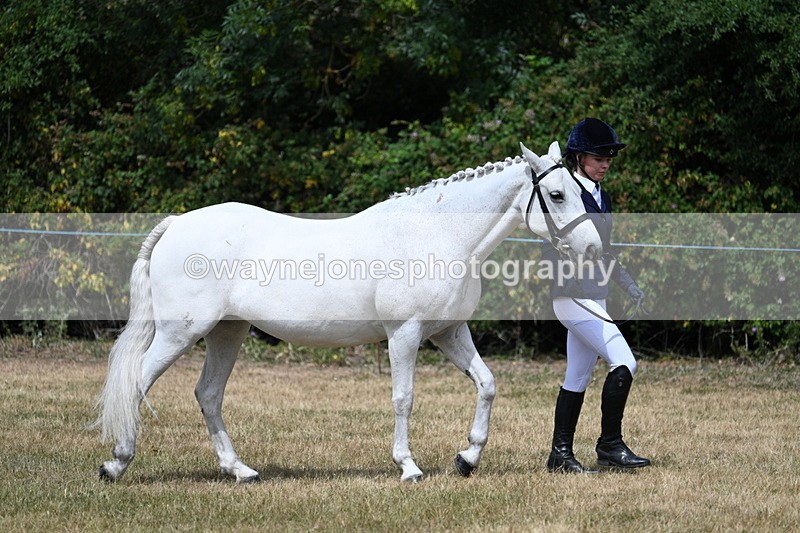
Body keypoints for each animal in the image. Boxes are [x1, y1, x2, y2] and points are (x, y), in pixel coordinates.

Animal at [95, 141, 602, 483]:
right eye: (558, 195)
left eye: (580, 189)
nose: (592, 248)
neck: (437, 233)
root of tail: (178, 222)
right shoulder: (405, 334)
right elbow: (403, 398)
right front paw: (409, 467)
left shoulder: (449, 332)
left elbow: (487, 384)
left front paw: (467, 458)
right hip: (180, 333)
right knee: (138, 382)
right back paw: (115, 464)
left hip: (227, 332)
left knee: (208, 394)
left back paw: (240, 470)